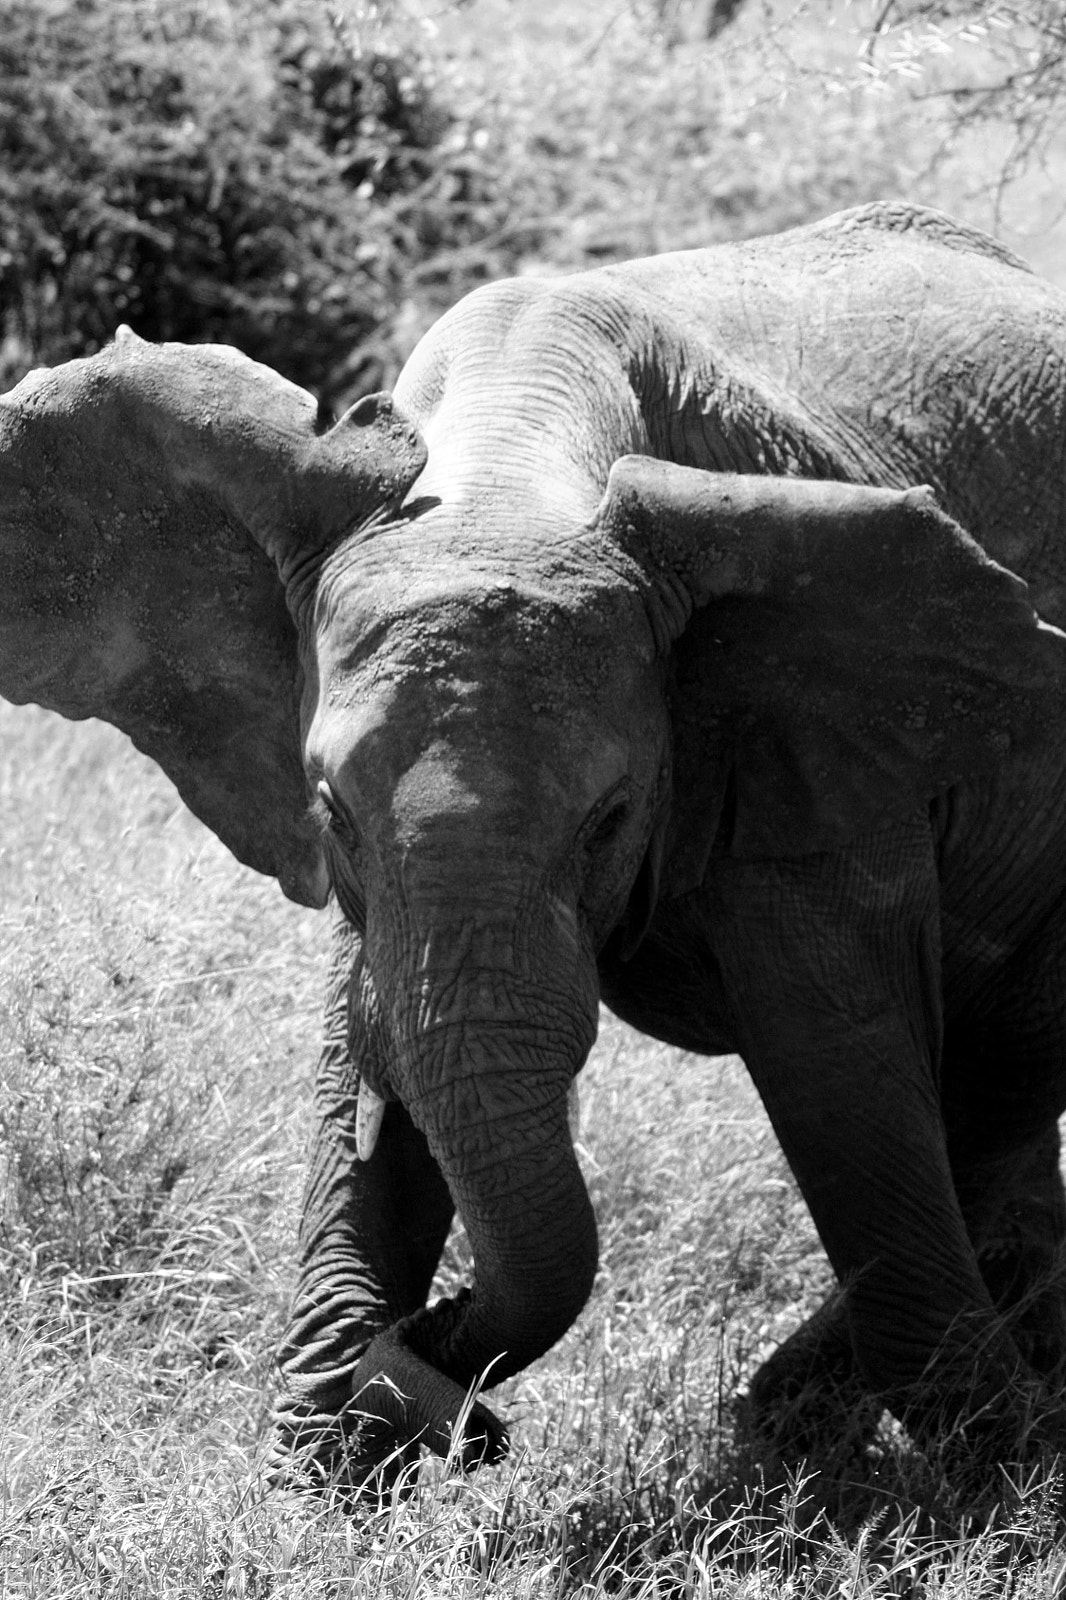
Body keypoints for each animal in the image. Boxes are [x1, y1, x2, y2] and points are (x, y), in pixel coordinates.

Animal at [5, 198, 1066, 1491]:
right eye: (329, 810)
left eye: (609, 818)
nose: (459, 1411)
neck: (511, 458)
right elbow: (369, 1042)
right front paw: (325, 1472)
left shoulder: (815, 741)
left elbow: (843, 1070)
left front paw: (988, 1489)